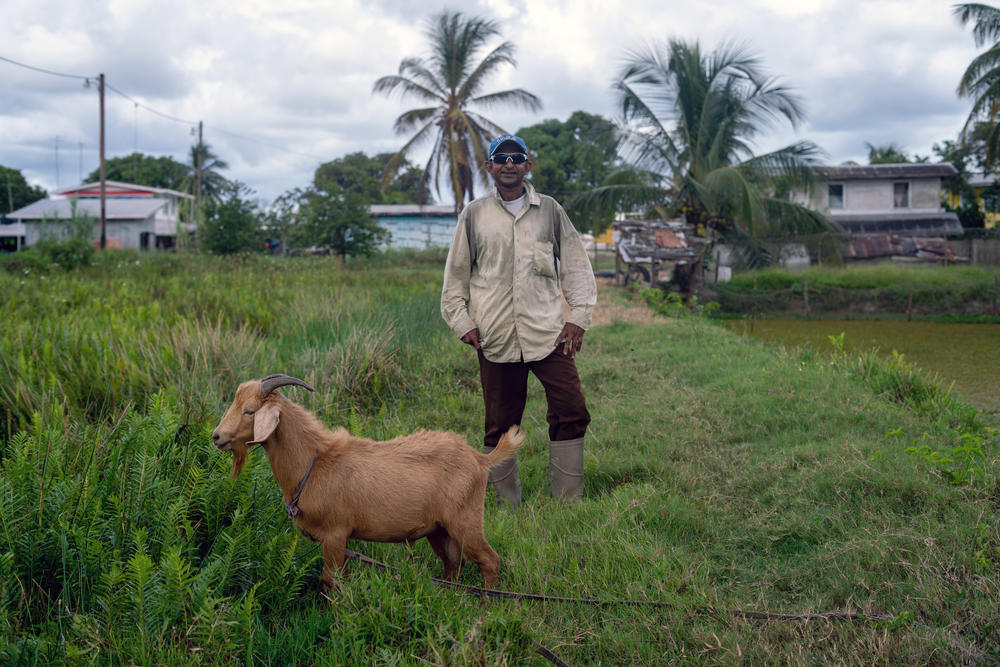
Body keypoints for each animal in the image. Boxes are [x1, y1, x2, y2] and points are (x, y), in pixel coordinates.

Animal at [211, 376, 524, 588]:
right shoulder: (342, 541)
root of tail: (479, 459)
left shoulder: (335, 534)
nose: (216, 436)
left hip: (465, 520)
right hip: (438, 529)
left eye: (250, 410)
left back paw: (487, 607)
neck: (314, 463)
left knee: (489, 560)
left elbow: (330, 581)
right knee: (453, 565)